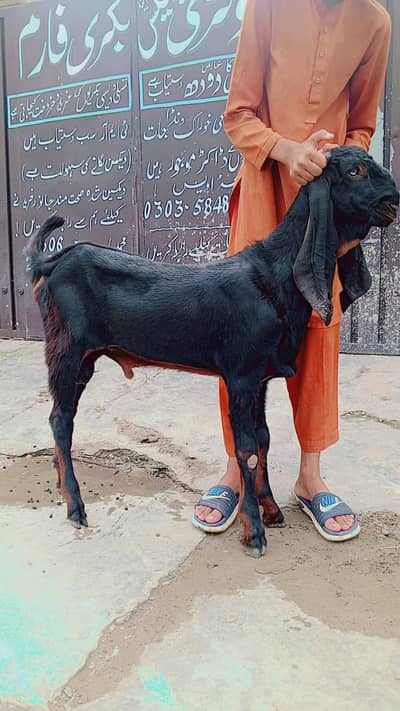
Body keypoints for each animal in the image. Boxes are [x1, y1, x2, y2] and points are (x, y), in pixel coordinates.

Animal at [26, 147, 398, 556]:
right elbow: (246, 449)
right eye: (355, 171)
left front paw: (271, 510)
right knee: (61, 420)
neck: (271, 276)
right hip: (67, 351)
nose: (394, 197)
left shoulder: (260, 377)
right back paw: (75, 506)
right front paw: (254, 533)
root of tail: (55, 261)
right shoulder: (240, 375)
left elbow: (264, 438)